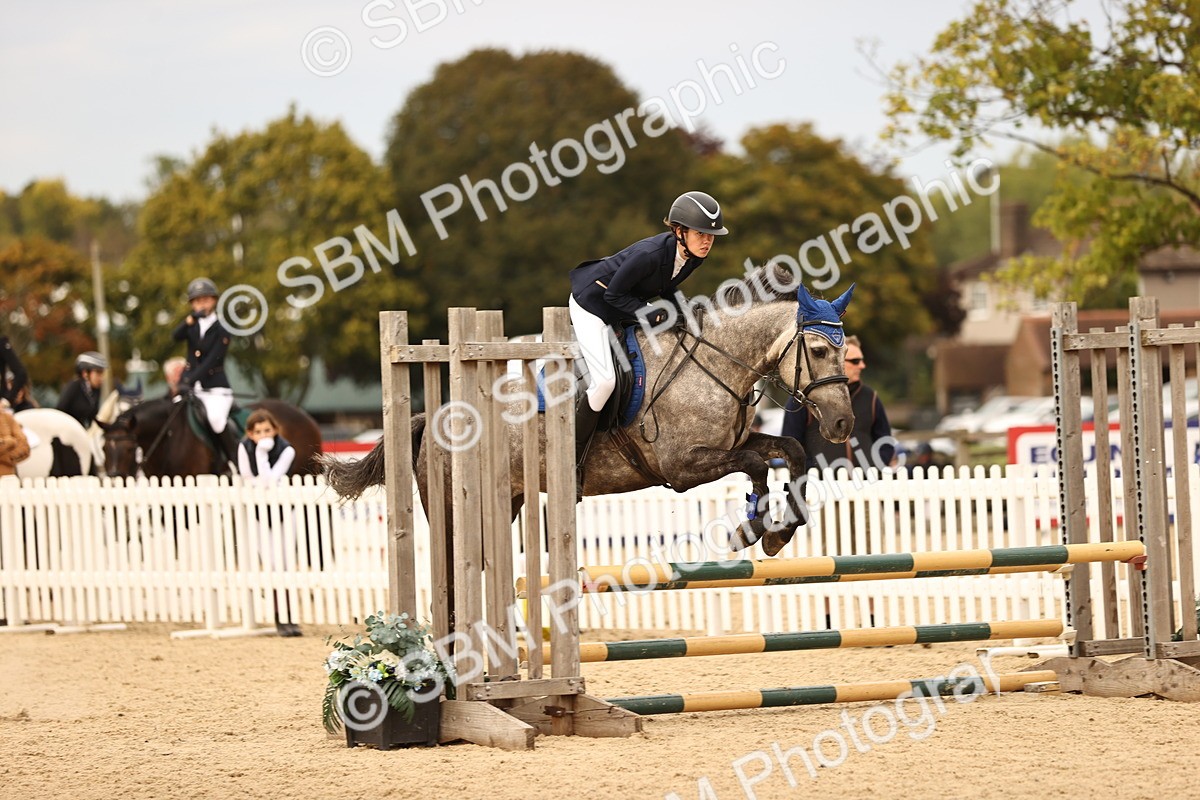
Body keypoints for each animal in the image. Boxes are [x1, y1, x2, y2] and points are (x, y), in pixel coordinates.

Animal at [323, 266, 856, 557]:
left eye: (843, 349)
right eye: (818, 350)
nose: (842, 424)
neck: (717, 362)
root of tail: (430, 419)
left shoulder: (736, 443)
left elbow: (790, 451)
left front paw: (777, 533)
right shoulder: (683, 467)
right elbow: (754, 465)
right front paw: (754, 527)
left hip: (508, 499)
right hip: (454, 506)